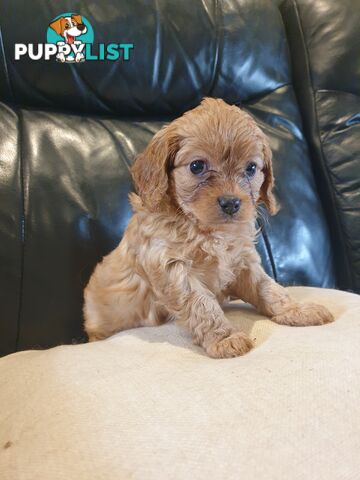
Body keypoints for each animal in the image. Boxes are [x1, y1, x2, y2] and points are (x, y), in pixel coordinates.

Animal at [83, 97, 334, 358]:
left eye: (251, 168)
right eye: (197, 166)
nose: (231, 203)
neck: (207, 230)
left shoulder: (243, 262)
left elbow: (269, 288)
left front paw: (296, 309)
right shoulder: (173, 269)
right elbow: (201, 304)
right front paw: (225, 338)